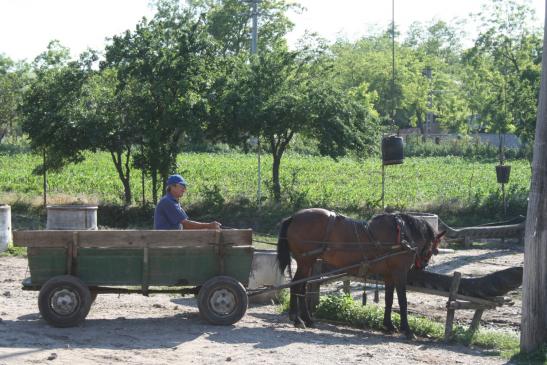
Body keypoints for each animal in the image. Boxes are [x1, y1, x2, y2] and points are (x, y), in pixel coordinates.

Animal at [278, 206, 446, 336]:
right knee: (296, 286)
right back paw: (297, 319)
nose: (422, 265)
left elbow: (389, 299)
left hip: (308, 262)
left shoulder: (389, 275)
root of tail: (294, 217)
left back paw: (306, 319)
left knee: (302, 287)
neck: (402, 234)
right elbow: (403, 301)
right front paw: (407, 330)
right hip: (305, 262)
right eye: (434, 248)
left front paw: (389, 325)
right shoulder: (399, 273)